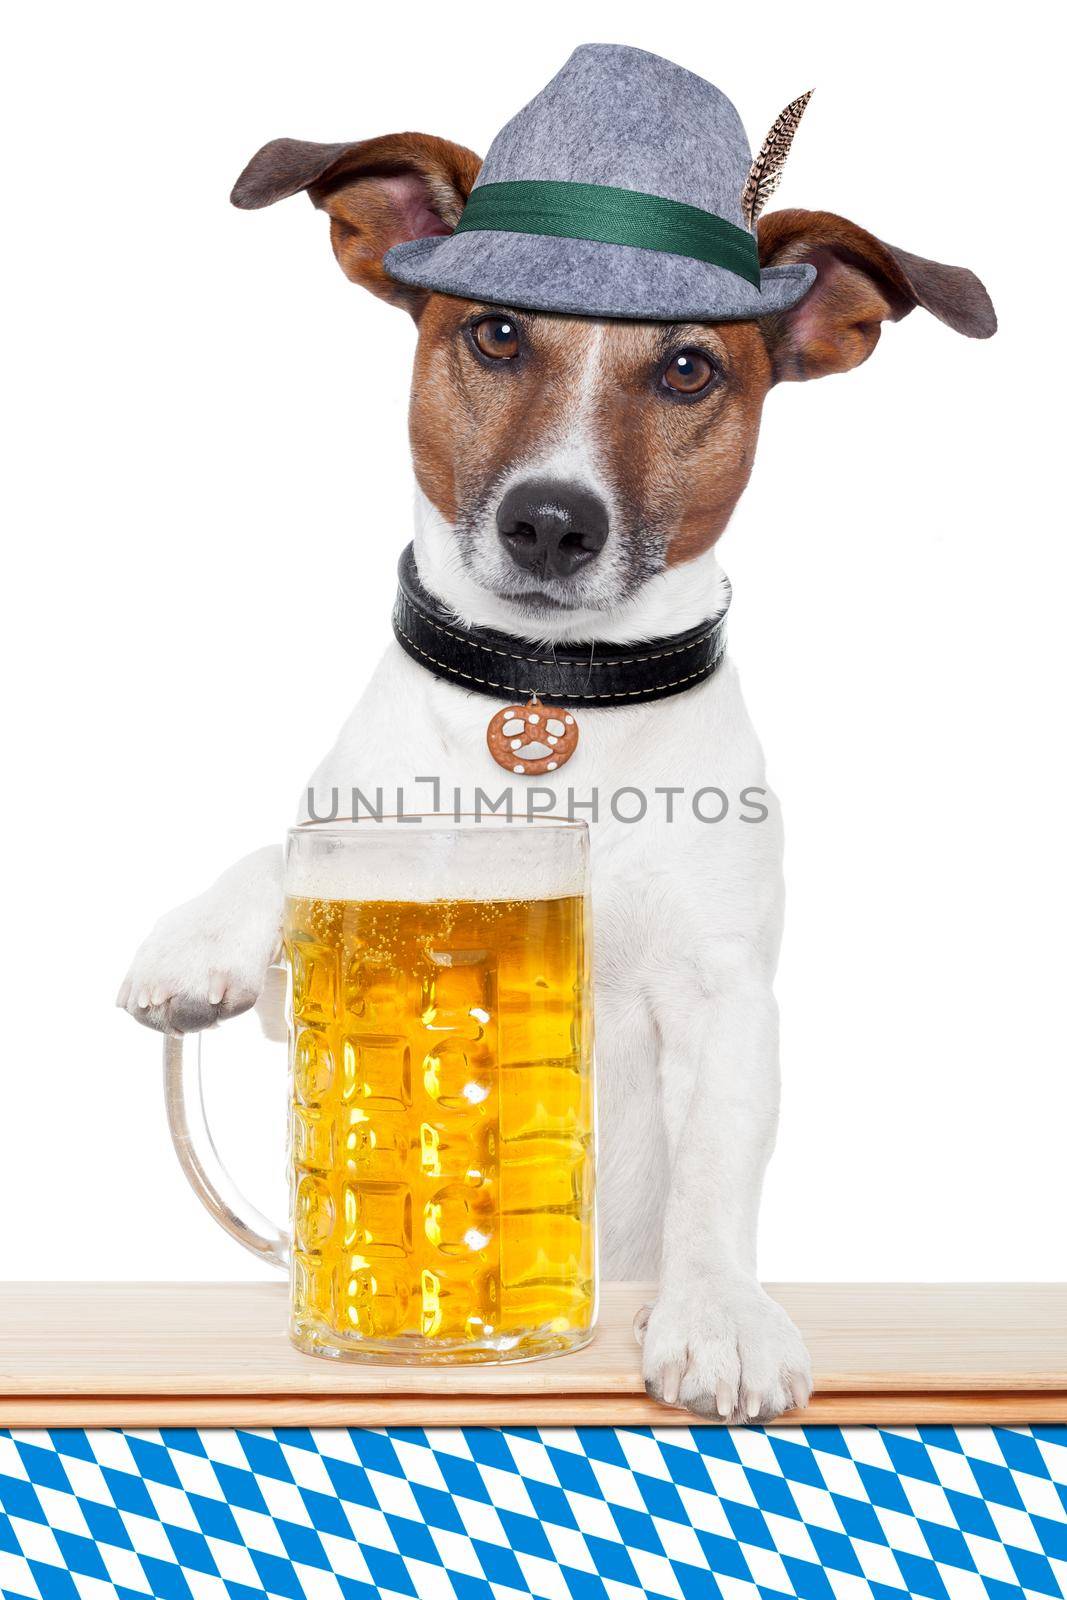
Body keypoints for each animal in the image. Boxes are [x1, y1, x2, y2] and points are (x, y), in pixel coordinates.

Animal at [120, 84, 998, 1427]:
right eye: (492, 333)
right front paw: (196, 938)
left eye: (688, 367)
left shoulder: (722, 998)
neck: (553, 701)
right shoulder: (307, 974)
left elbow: (715, 1172)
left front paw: (716, 1313)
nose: (550, 519)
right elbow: (290, 861)